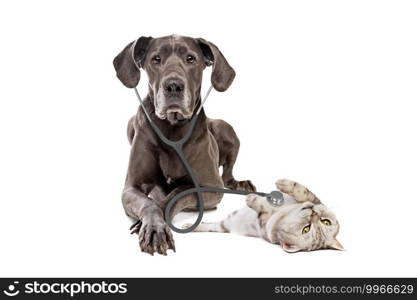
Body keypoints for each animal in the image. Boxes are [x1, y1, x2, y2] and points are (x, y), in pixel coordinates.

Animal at [113, 35, 254, 255]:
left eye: (190, 58)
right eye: (156, 59)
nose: (173, 86)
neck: (172, 127)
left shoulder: (211, 186)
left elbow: (176, 194)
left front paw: (152, 226)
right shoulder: (131, 187)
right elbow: (149, 202)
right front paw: (154, 228)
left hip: (226, 128)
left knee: (228, 175)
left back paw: (240, 184)